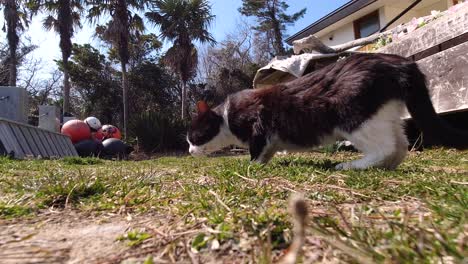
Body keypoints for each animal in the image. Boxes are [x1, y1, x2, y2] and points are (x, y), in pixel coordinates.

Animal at [187, 52, 468, 170]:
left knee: (386, 147)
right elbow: (269, 149)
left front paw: (252, 166)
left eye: (193, 137)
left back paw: (350, 166)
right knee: (400, 146)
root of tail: (402, 64)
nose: (189, 151)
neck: (226, 116)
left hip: (352, 115)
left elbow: (257, 148)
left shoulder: (257, 122)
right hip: (383, 116)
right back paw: (379, 166)